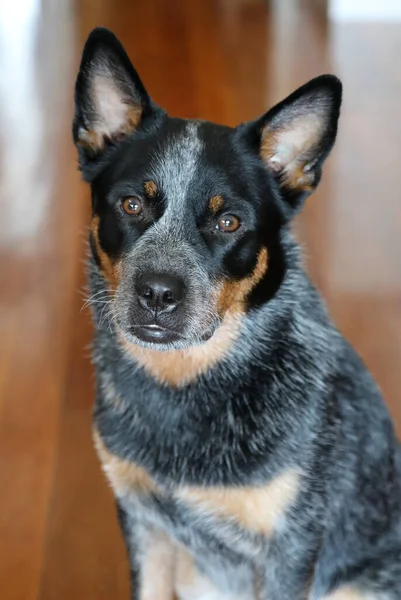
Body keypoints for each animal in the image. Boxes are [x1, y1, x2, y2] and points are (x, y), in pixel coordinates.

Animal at [72, 28, 400, 600]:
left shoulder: (291, 546)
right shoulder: (141, 519)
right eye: (132, 205)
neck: (184, 383)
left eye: (228, 221)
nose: (158, 292)